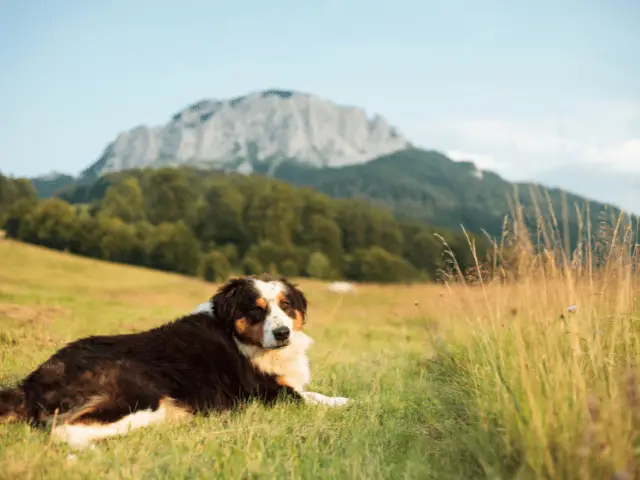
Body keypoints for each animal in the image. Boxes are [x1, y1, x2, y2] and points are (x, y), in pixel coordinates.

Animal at [0, 274, 350, 450]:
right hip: (137, 394)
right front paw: (347, 402)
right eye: (255, 310)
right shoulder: (269, 394)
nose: (282, 333)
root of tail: (32, 382)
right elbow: (313, 397)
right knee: (63, 432)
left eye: (286, 305)